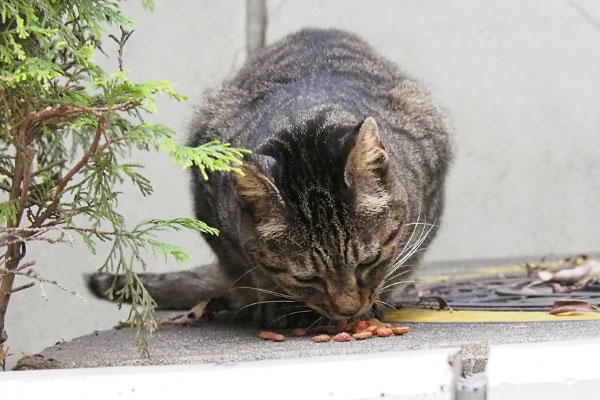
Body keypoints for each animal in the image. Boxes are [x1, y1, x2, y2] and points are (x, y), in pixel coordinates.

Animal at [89, 28, 452, 328]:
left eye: (369, 261)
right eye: (306, 279)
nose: (348, 309)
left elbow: (401, 260)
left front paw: (381, 297)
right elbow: (257, 270)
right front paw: (278, 304)